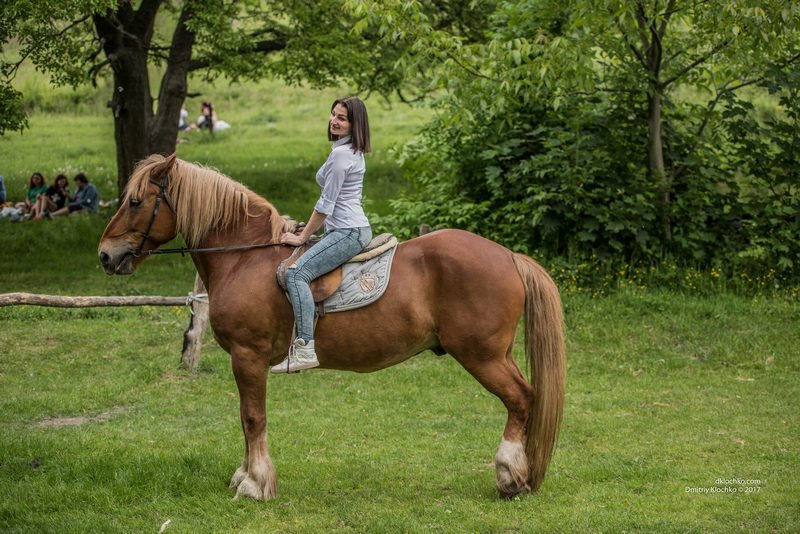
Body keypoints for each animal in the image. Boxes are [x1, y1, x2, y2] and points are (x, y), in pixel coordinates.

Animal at [98, 153, 566, 500]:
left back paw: (509, 476)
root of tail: (509, 256)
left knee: (521, 400)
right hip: (498, 354)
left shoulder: (248, 358)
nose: (105, 254)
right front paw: (245, 475)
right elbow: (246, 419)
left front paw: (255, 483)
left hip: (481, 355)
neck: (245, 258)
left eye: (136, 201)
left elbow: (252, 418)